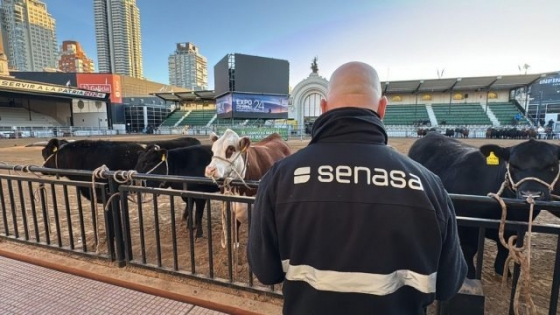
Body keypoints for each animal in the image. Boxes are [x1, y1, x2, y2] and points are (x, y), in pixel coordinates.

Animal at [406, 132, 560, 280]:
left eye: (553, 166)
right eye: (512, 165)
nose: (531, 194)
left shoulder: (515, 228)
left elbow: (504, 249)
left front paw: (503, 272)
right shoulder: (470, 224)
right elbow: (470, 249)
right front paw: (471, 274)